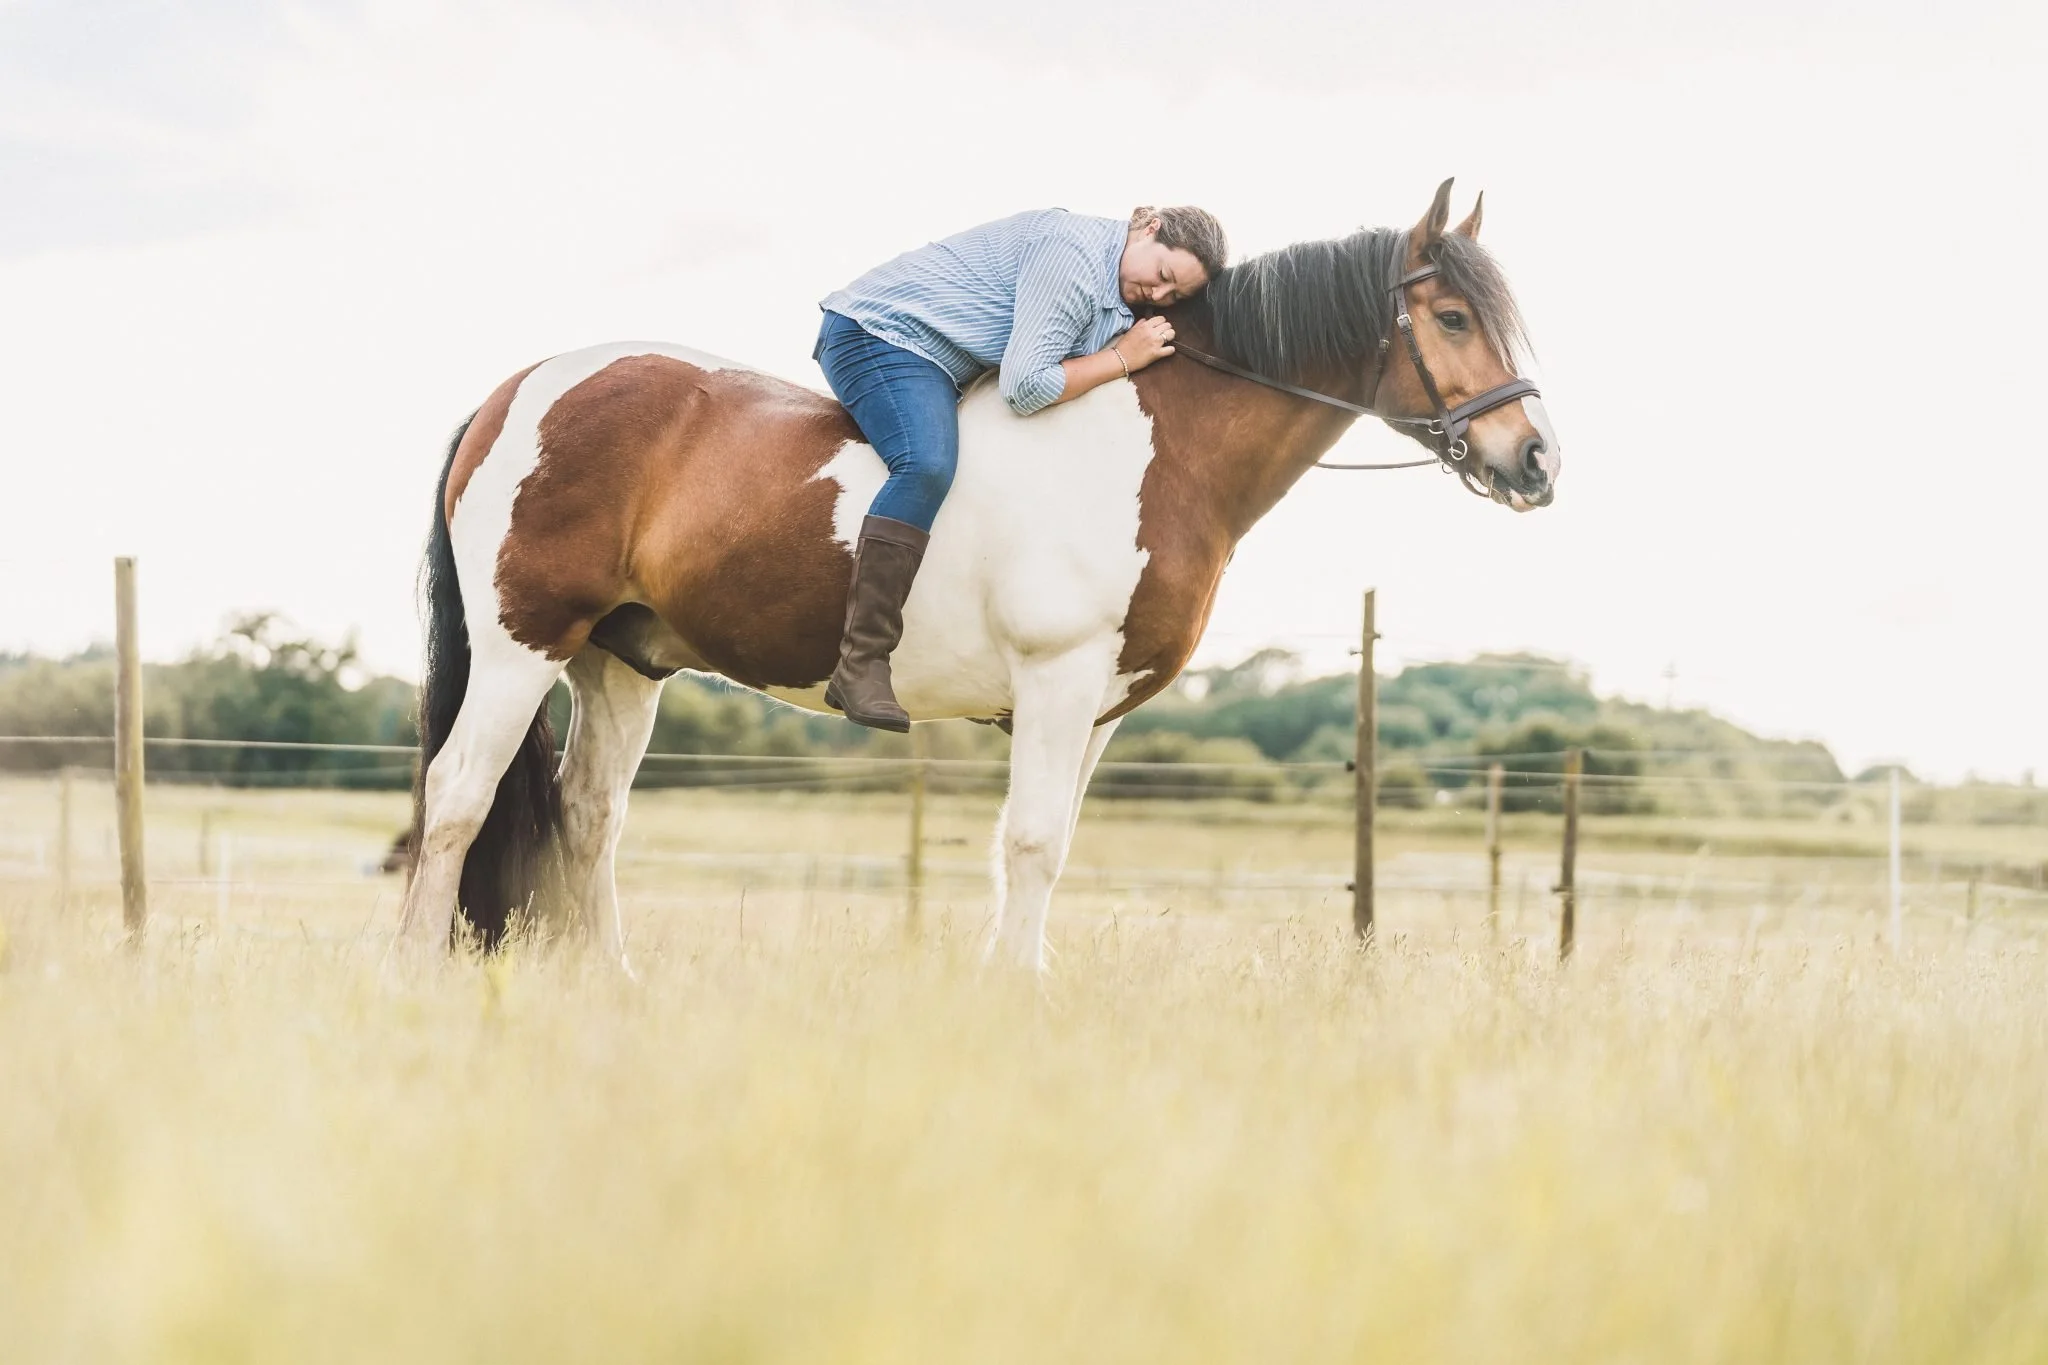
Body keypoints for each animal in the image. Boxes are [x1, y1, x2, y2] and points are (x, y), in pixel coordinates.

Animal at [391, 179, 1560, 971]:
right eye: (1452, 317)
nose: (1537, 461)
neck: (1151, 448)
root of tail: (518, 390)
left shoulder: (1096, 712)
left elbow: (1048, 848)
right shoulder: (1056, 681)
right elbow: (1032, 843)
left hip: (620, 664)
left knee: (590, 815)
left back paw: (611, 982)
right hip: (522, 644)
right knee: (456, 797)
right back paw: (413, 971)